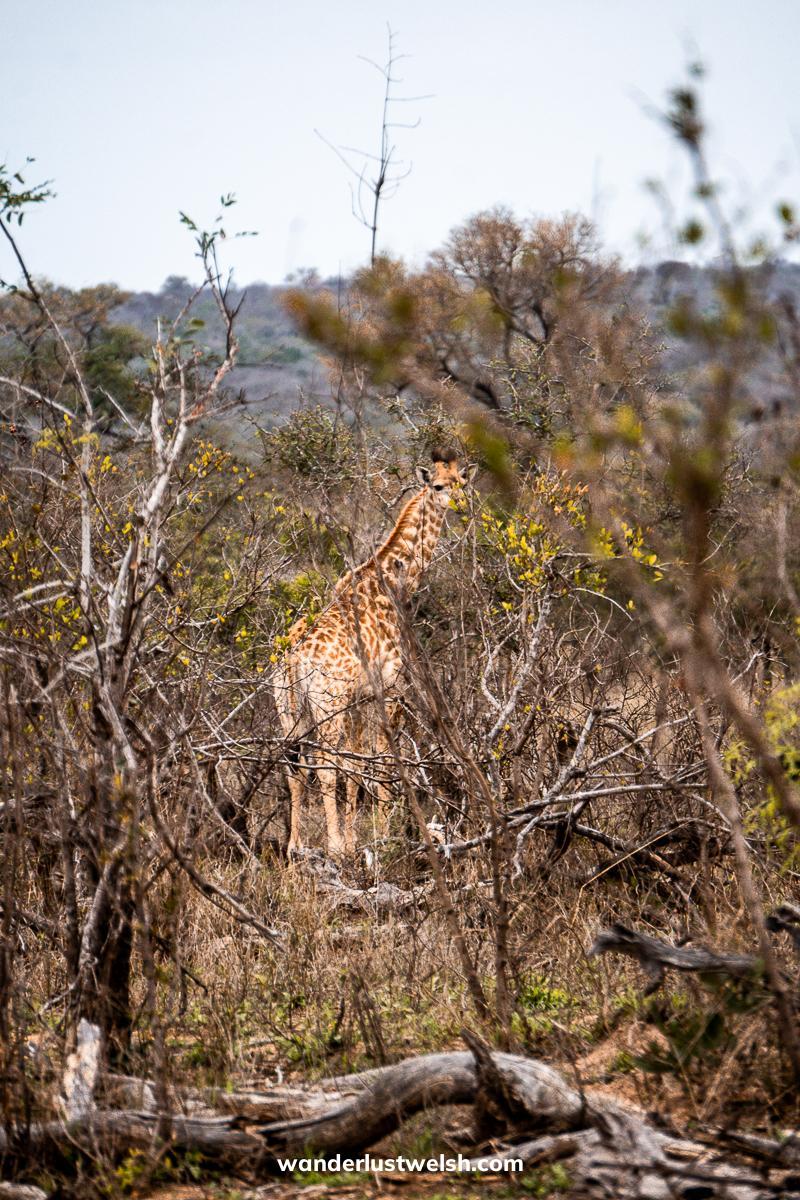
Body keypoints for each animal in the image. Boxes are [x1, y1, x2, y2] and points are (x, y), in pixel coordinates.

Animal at [273, 450, 473, 857]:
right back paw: (331, 847)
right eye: (438, 486)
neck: (396, 578)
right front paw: (382, 835)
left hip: (290, 711)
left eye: (463, 481)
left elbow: (358, 767)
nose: (462, 504)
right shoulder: (391, 685)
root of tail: (293, 660)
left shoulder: (359, 698)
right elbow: (381, 762)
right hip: (326, 706)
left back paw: (294, 849)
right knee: (324, 766)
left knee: (294, 771)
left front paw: (357, 840)